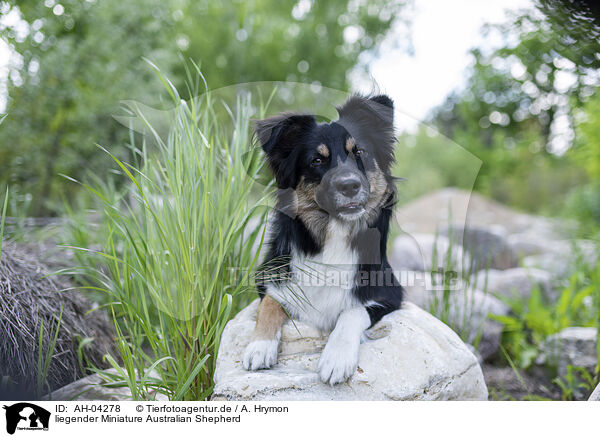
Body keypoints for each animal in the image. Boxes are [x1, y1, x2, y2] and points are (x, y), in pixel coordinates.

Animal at [243, 93, 404, 384]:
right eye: (316, 161)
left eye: (359, 152)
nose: (349, 185)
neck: (335, 231)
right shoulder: (269, 274)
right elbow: (271, 303)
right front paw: (259, 345)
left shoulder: (390, 293)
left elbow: (353, 310)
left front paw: (336, 357)